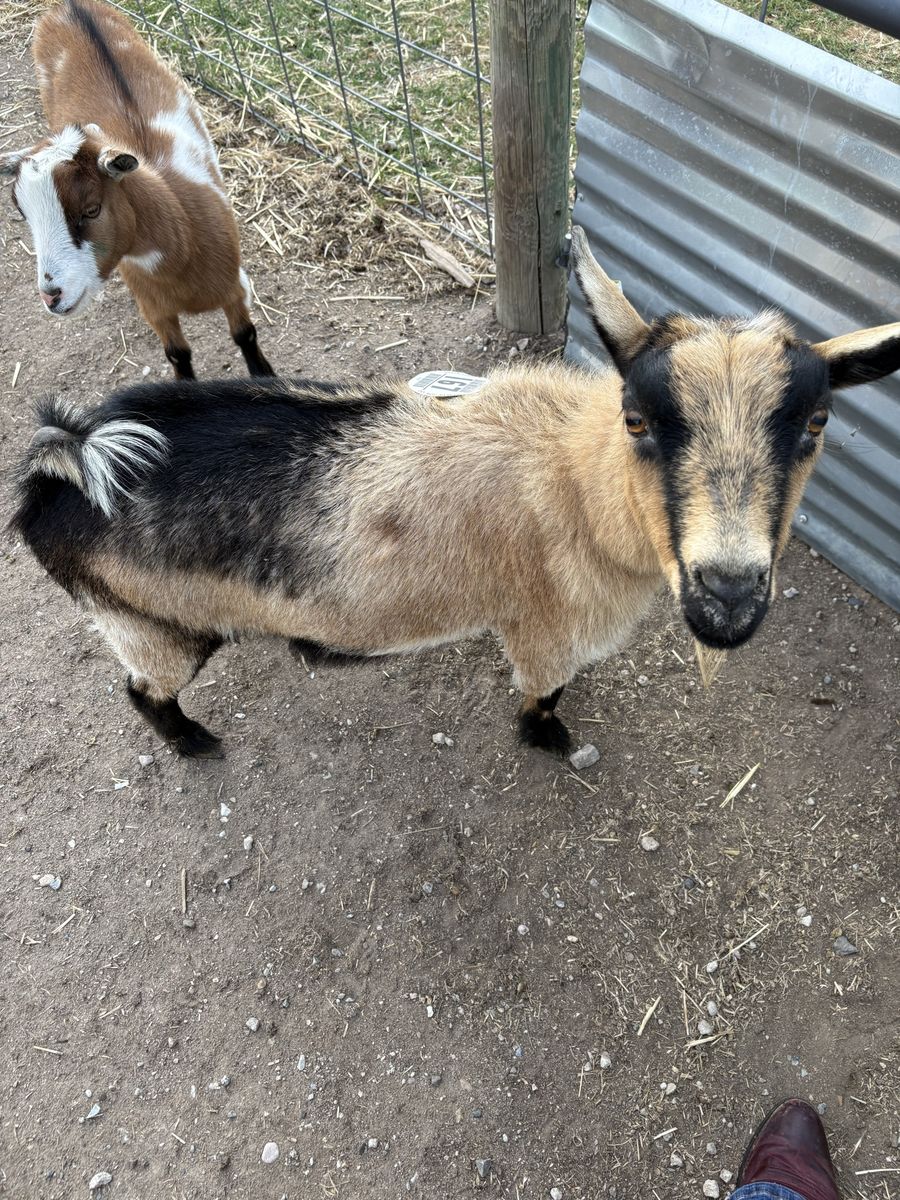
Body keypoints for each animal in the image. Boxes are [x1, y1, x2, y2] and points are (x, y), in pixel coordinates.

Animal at [1, 0, 273, 379]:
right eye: (23, 213)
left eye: (92, 209)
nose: (51, 296)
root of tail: (69, 7)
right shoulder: (155, 309)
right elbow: (178, 355)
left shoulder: (234, 286)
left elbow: (245, 334)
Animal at [12, 229, 900, 757]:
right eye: (638, 418)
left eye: (818, 420)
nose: (729, 596)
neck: (579, 483)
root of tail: (64, 468)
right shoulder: (544, 629)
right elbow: (543, 695)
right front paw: (550, 739)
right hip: (151, 625)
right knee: (140, 692)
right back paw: (195, 744)